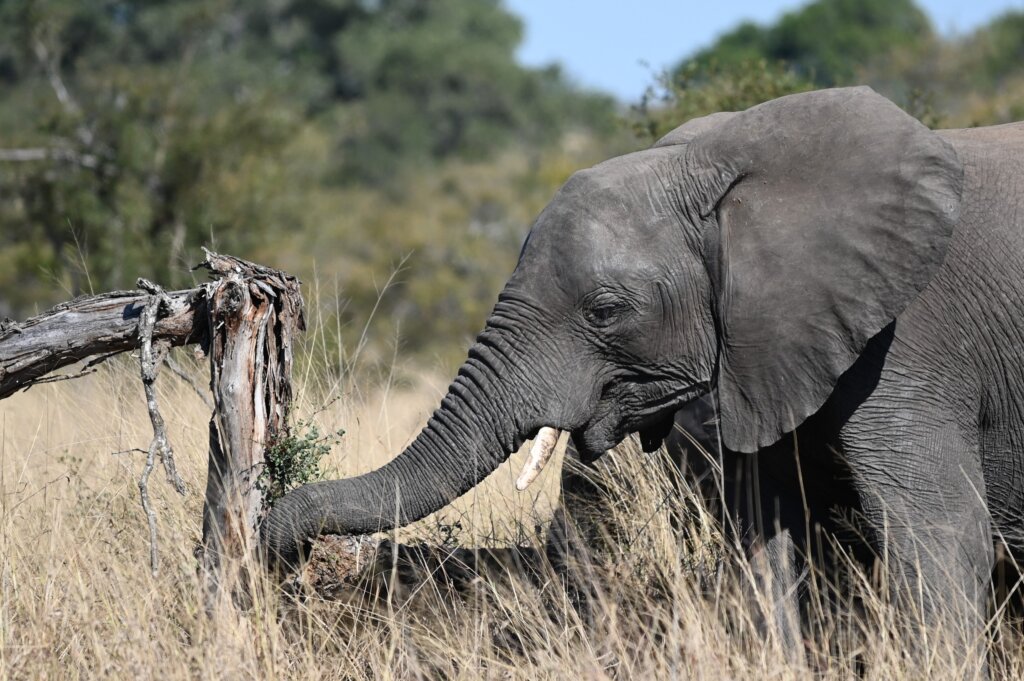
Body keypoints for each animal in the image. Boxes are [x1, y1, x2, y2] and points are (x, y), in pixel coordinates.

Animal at [264, 87, 1024, 655]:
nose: (281, 559)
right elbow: (767, 537)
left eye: (605, 311)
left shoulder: (905, 341)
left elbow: (939, 536)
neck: (724, 161)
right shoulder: (769, 351)